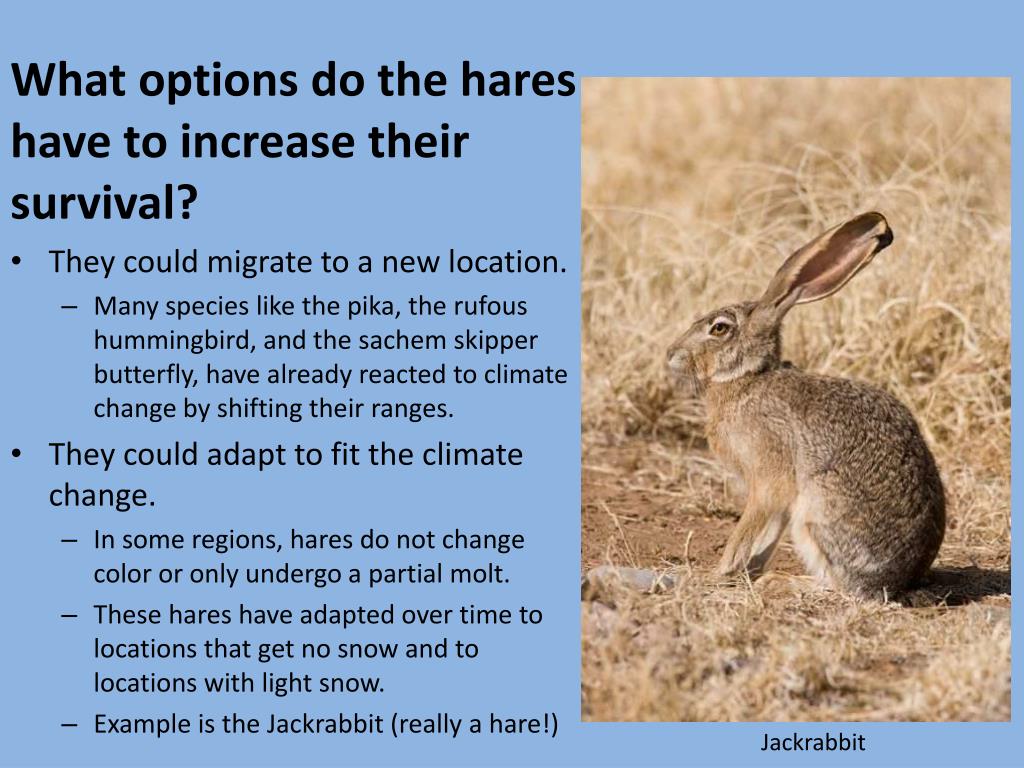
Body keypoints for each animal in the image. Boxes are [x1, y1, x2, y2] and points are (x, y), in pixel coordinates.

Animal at [666, 212, 945, 598]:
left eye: (719, 328)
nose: (671, 355)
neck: (749, 378)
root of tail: (896, 582)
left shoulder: (769, 475)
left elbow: (749, 526)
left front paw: (718, 573)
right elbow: (767, 534)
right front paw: (745, 571)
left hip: (817, 508)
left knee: (841, 587)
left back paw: (781, 581)